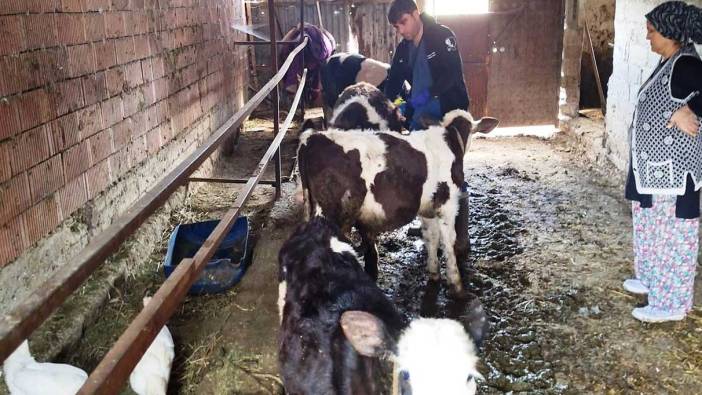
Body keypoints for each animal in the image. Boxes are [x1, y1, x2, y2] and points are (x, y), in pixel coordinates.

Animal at [296, 110, 500, 296]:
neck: (450, 139)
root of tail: (312, 139)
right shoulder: (447, 205)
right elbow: (449, 243)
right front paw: (456, 285)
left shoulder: (427, 209)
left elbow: (431, 238)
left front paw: (434, 273)